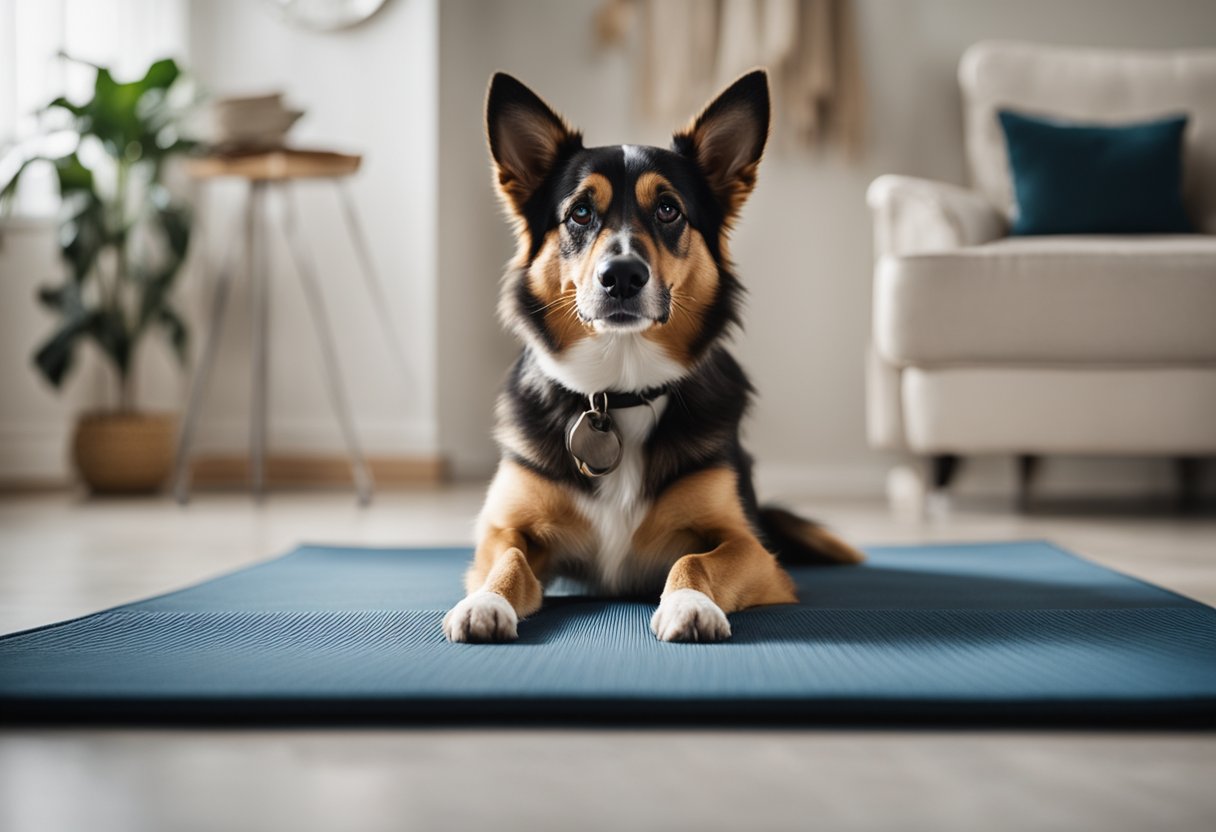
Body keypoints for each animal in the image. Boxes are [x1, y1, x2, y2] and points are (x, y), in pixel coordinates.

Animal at [445, 69, 865, 642]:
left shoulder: (750, 547)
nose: (622, 276)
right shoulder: (505, 526)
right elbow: (507, 558)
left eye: (668, 209)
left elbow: (694, 560)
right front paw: (486, 602)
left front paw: (690, 602)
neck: (617, 395)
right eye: (580, 212)